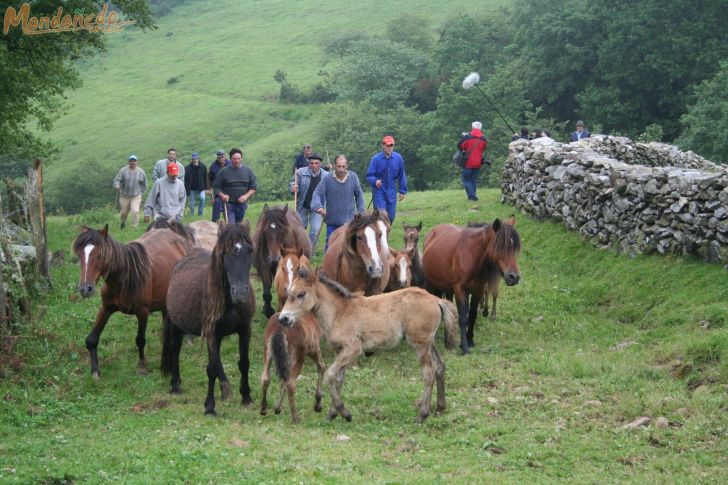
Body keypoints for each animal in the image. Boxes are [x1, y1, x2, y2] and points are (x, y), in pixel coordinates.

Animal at [72, 223, 188, 378]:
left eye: (100, 255)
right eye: (79, 255)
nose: (85, 289)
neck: (125, 277)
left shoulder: (143, 312)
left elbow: (140, 340)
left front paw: (142, 366)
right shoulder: (106, 308)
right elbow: (91, 340)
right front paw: (95, 371)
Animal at [162, 221, 256, 414]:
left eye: (250, 250)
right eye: (225, 252)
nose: (240, 293)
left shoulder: (244, 329)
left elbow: (244, 363)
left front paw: (246, 397)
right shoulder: (212, 332)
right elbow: (211, 368)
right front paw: (210, 407)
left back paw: (225, 388)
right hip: (176, 325)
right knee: (175, 349)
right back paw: (175, 385)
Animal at [278, 270, 456, 422]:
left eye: (301, 294)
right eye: (288, 293)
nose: (283, 319)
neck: (338, 312)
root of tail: (436, 300)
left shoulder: (353, 350)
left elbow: (329, 375)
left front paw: (344, 412)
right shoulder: (340, 352)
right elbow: (338, 379)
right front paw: (332, 414)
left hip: (420, 345)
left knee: (428, 373)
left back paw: (422, 415)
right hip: (429, 344)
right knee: (440, 367)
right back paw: (440, 408)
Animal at [424, 217, 520, 354]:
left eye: (514, 248)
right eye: (500, 247)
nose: (514, 277)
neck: (472, 256)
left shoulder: (477, 290)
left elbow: (472, 315)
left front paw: (470, 340)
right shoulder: (460, 290)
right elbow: (464, 317)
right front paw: (464, 346)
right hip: (432, 283)